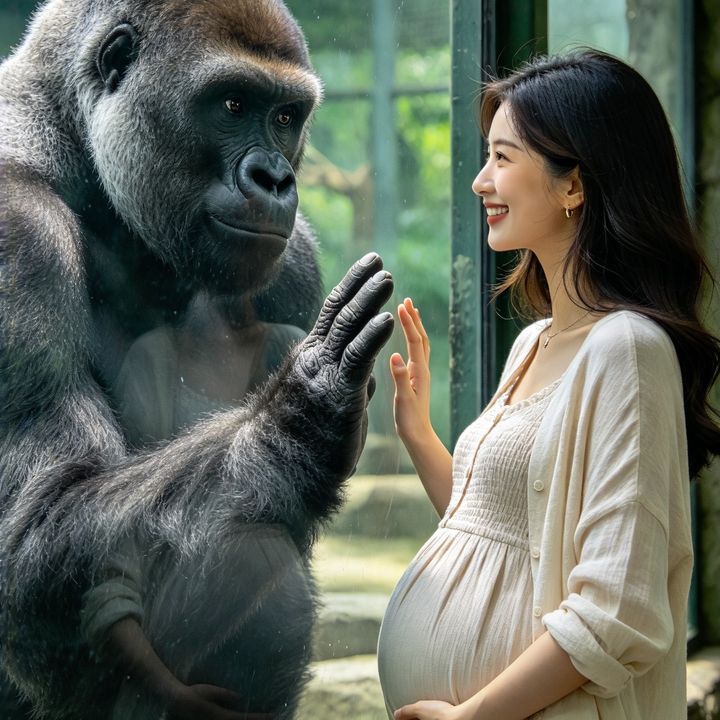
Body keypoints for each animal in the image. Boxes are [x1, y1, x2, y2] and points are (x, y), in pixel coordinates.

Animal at [0, 0, 395, 718]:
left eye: (286, 117)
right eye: (232, 104)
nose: (276, 179)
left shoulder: (293, 260)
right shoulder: (16, 237)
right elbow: (36, 536)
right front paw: (296, 418)